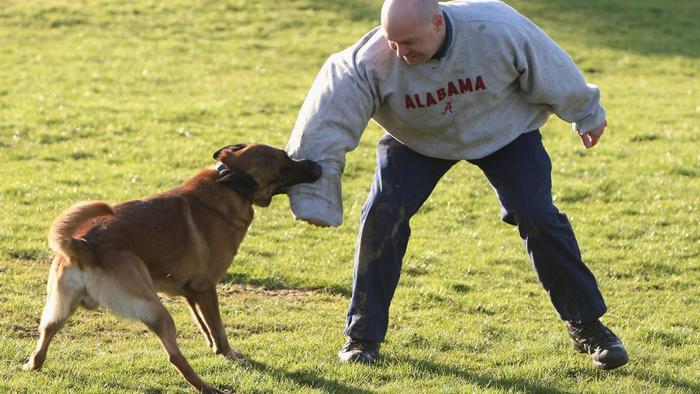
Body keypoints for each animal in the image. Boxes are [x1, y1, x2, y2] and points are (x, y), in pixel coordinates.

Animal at [22, 145, 322, 394]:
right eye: (285, 163)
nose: (317, 165)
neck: (229, 186)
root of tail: (84, 245)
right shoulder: (206, 288)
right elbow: (219, 329)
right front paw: (230, 355)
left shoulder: (191, 292)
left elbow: (205, 327)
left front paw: (215, 348)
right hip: (157, 310)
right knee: (175, 356)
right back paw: (208, 388)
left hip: (60, 308)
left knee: (45, 333)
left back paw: (32, 365)